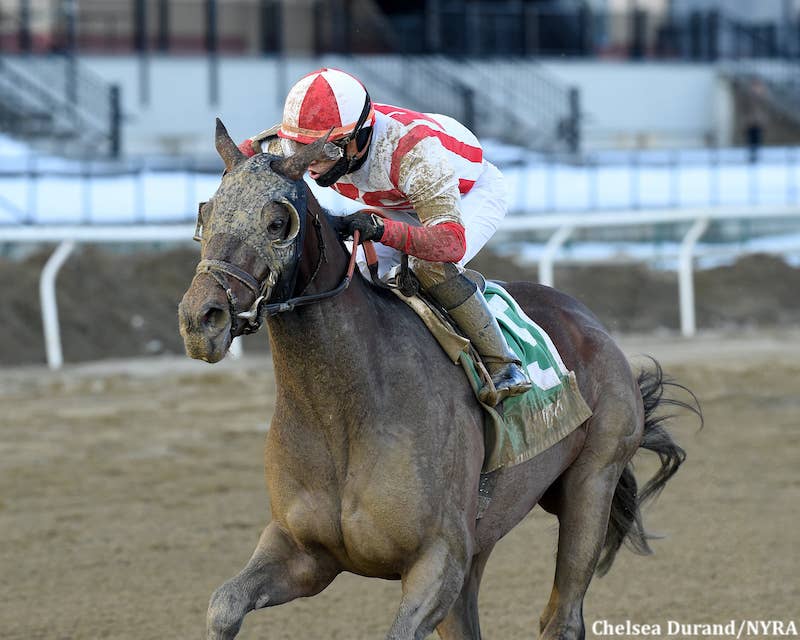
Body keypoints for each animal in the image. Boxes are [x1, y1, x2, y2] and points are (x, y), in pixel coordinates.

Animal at [178, 120, 701, 640]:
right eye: (208, 213)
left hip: (592, 482)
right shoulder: (303, 551)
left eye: (276, 223)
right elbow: (223, 605)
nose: (201, 319)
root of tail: (590, 321)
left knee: (563, 617)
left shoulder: (439, 557)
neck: (342, 413)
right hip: (486, 537)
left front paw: (366, 224)